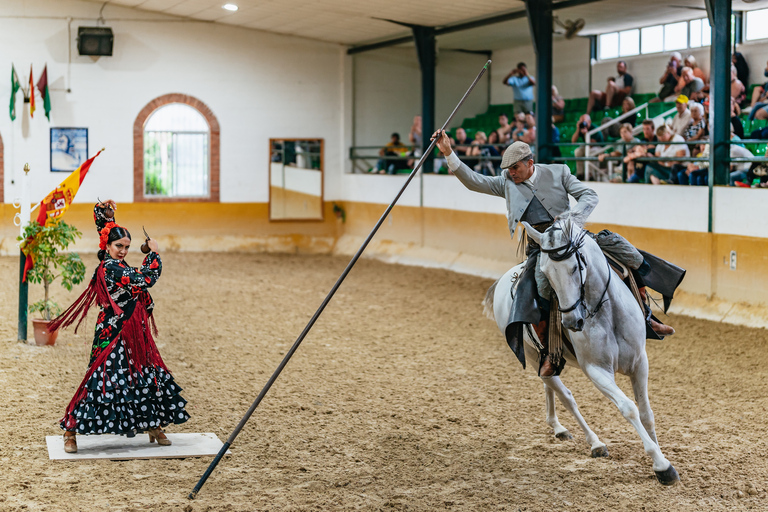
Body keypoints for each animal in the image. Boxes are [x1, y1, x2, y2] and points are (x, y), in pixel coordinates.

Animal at [486, 216, 680, 484]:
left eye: (574, 268)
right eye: (546, 274)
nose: (571, 322)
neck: (607, 312)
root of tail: (503, 281)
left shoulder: (640, 363)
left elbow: (646, 413)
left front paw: (660, 453)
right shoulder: (596, 371)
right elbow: (629, 408)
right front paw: (662, 465)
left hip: (545, 359)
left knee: (549, 385)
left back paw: (558, 427)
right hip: (534, 356)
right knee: (566, 396)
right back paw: (595, 443)